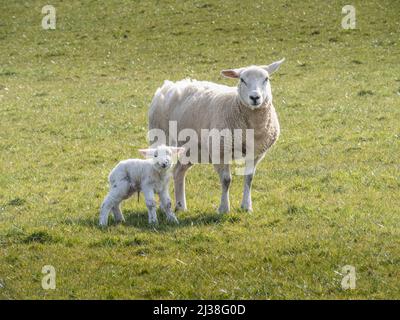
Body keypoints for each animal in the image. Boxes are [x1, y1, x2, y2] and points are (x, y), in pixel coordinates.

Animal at [149, 58, 284, 214]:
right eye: (242, 79)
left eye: (266, 79)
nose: (255, 97)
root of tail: (168, 85)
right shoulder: (220, 150)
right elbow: (226, 180)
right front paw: (224, 208)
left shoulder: (256, 154)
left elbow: (249, 178)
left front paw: (247, 206)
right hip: (159, 136)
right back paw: (163, 205)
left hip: (192, 150)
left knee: (178, 172)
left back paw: (181, 206)